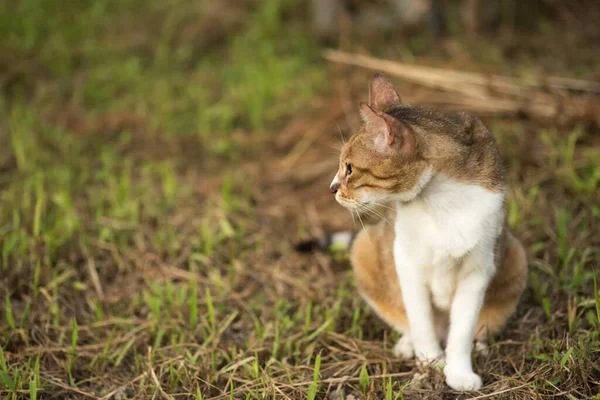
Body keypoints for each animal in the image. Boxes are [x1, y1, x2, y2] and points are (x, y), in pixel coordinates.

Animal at [298, 72, 528, 390]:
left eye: (350, 169)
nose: (332, 188)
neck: (441, 201)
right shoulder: (407, 263)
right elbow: (420, 320)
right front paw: (430, 362)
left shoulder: (478, 269)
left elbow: (462, 329)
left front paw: (458, 372)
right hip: (366, 248)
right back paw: (409, 345)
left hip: (516, 256)